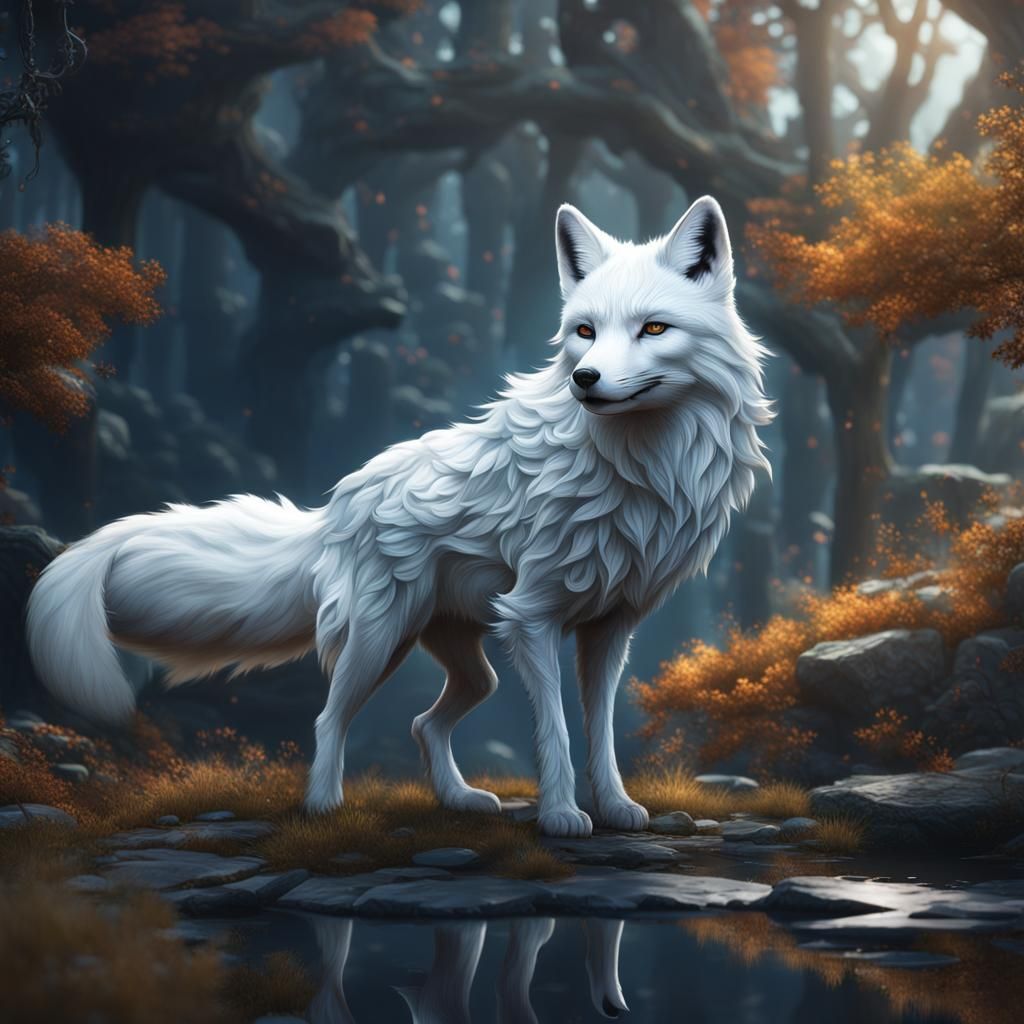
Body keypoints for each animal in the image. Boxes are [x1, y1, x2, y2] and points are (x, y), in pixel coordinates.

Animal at [27, 196, 772, 838]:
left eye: (654, 328)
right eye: (584, 331)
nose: (584, 379)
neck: (642, 467)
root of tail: (335, 504)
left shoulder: (609, 629)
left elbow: (602, 731)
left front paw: (615, 808)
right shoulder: (531, 617)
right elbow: (556, 732)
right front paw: (562, 816)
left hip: (462, 657)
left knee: (421, 723)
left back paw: (459, 799)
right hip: (379, 642)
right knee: (328, 719)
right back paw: (323, 808)